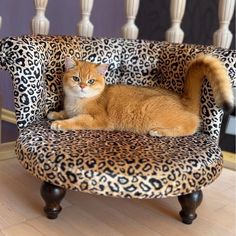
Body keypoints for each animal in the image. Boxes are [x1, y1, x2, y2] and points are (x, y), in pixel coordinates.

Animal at [47, 55, 233, 136]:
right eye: (76, 78)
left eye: (91, 81)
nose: (82, 86)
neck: (77, 100)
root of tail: (183, 100)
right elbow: (66, 112)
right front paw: (56, 113)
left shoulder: (98, 119)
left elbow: (78, 120)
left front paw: (61, 124)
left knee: (192, 125)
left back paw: (160, 132)